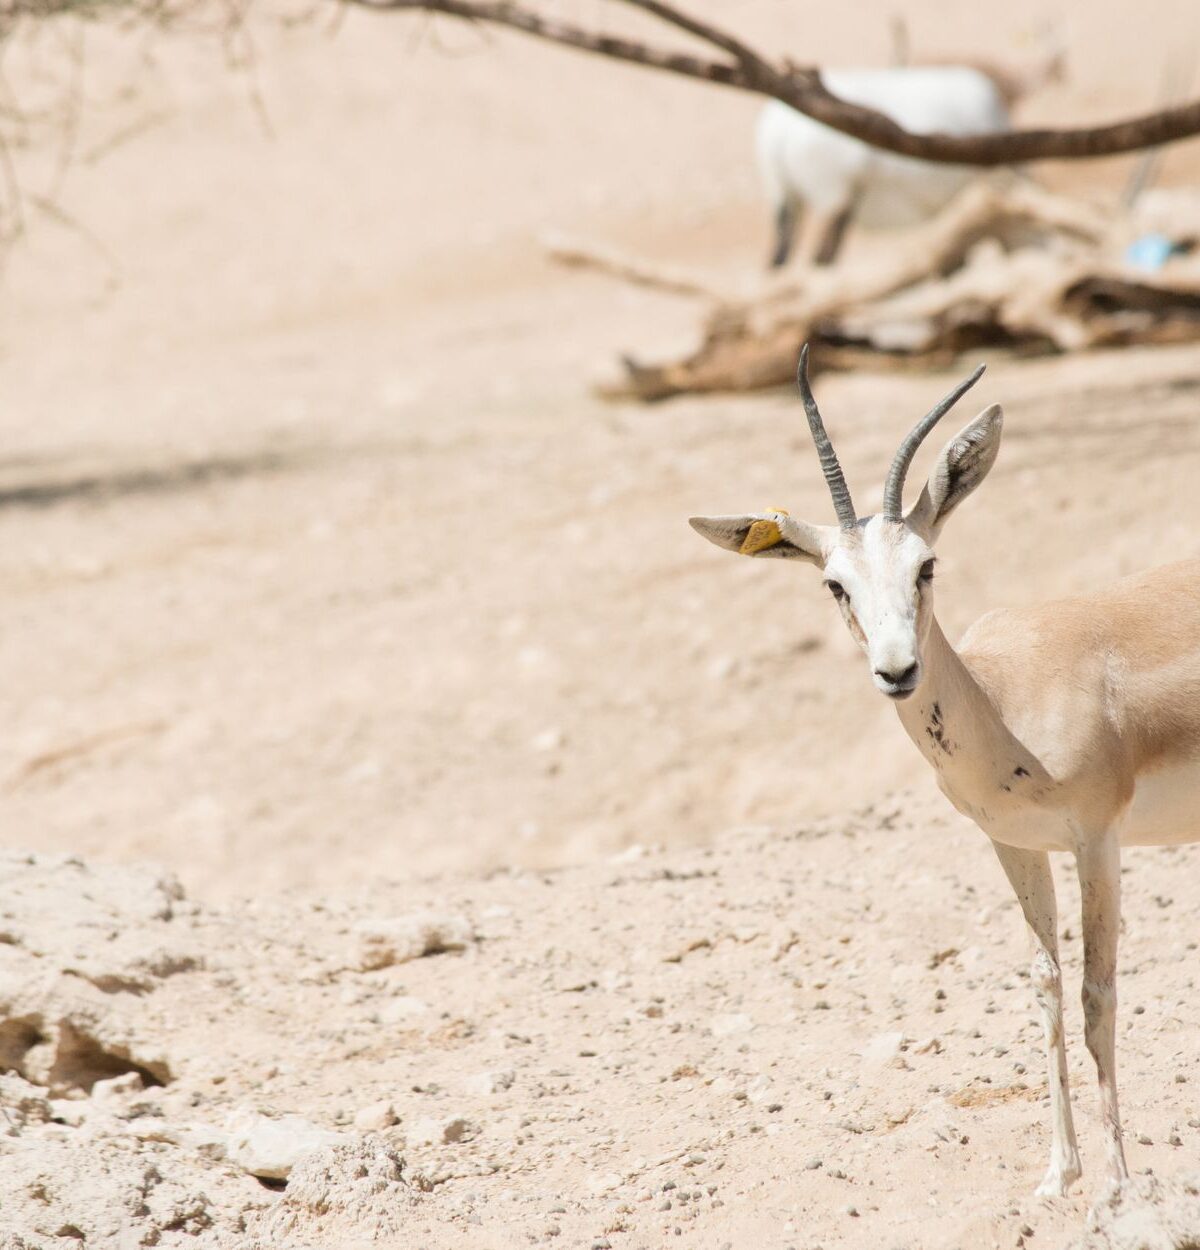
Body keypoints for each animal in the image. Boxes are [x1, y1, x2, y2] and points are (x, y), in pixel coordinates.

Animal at [690, 346, 1200, 1198]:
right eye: (835, 583)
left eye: (926, 566)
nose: (898, 670)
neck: (1007, 699)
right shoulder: (1016, 846)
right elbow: (1045, 984)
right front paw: (1059, 1175)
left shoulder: (1098, 841)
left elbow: (1097, 992)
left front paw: (1118, 1183)